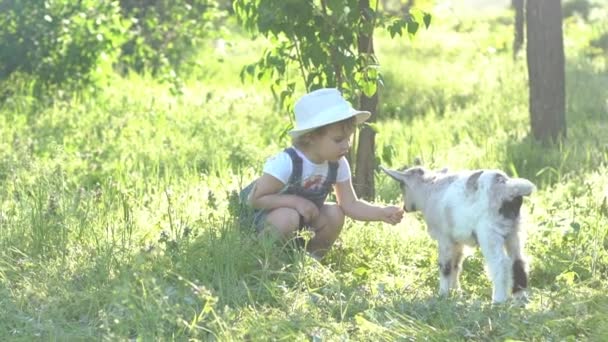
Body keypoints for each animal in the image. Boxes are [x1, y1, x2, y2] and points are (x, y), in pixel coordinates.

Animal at [382, 166, 536, 302]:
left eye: (401, 185)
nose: (405, 208)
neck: (430, 190)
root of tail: (508, 188)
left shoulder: (444, 238)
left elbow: (445, 267)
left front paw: (443, 294)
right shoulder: (457, 241)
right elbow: (456, 265)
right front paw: (456, 292)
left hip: (489, 233)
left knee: (500, 263)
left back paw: (498, 300)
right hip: (515, 231)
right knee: (519, 261)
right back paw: (520, 297)